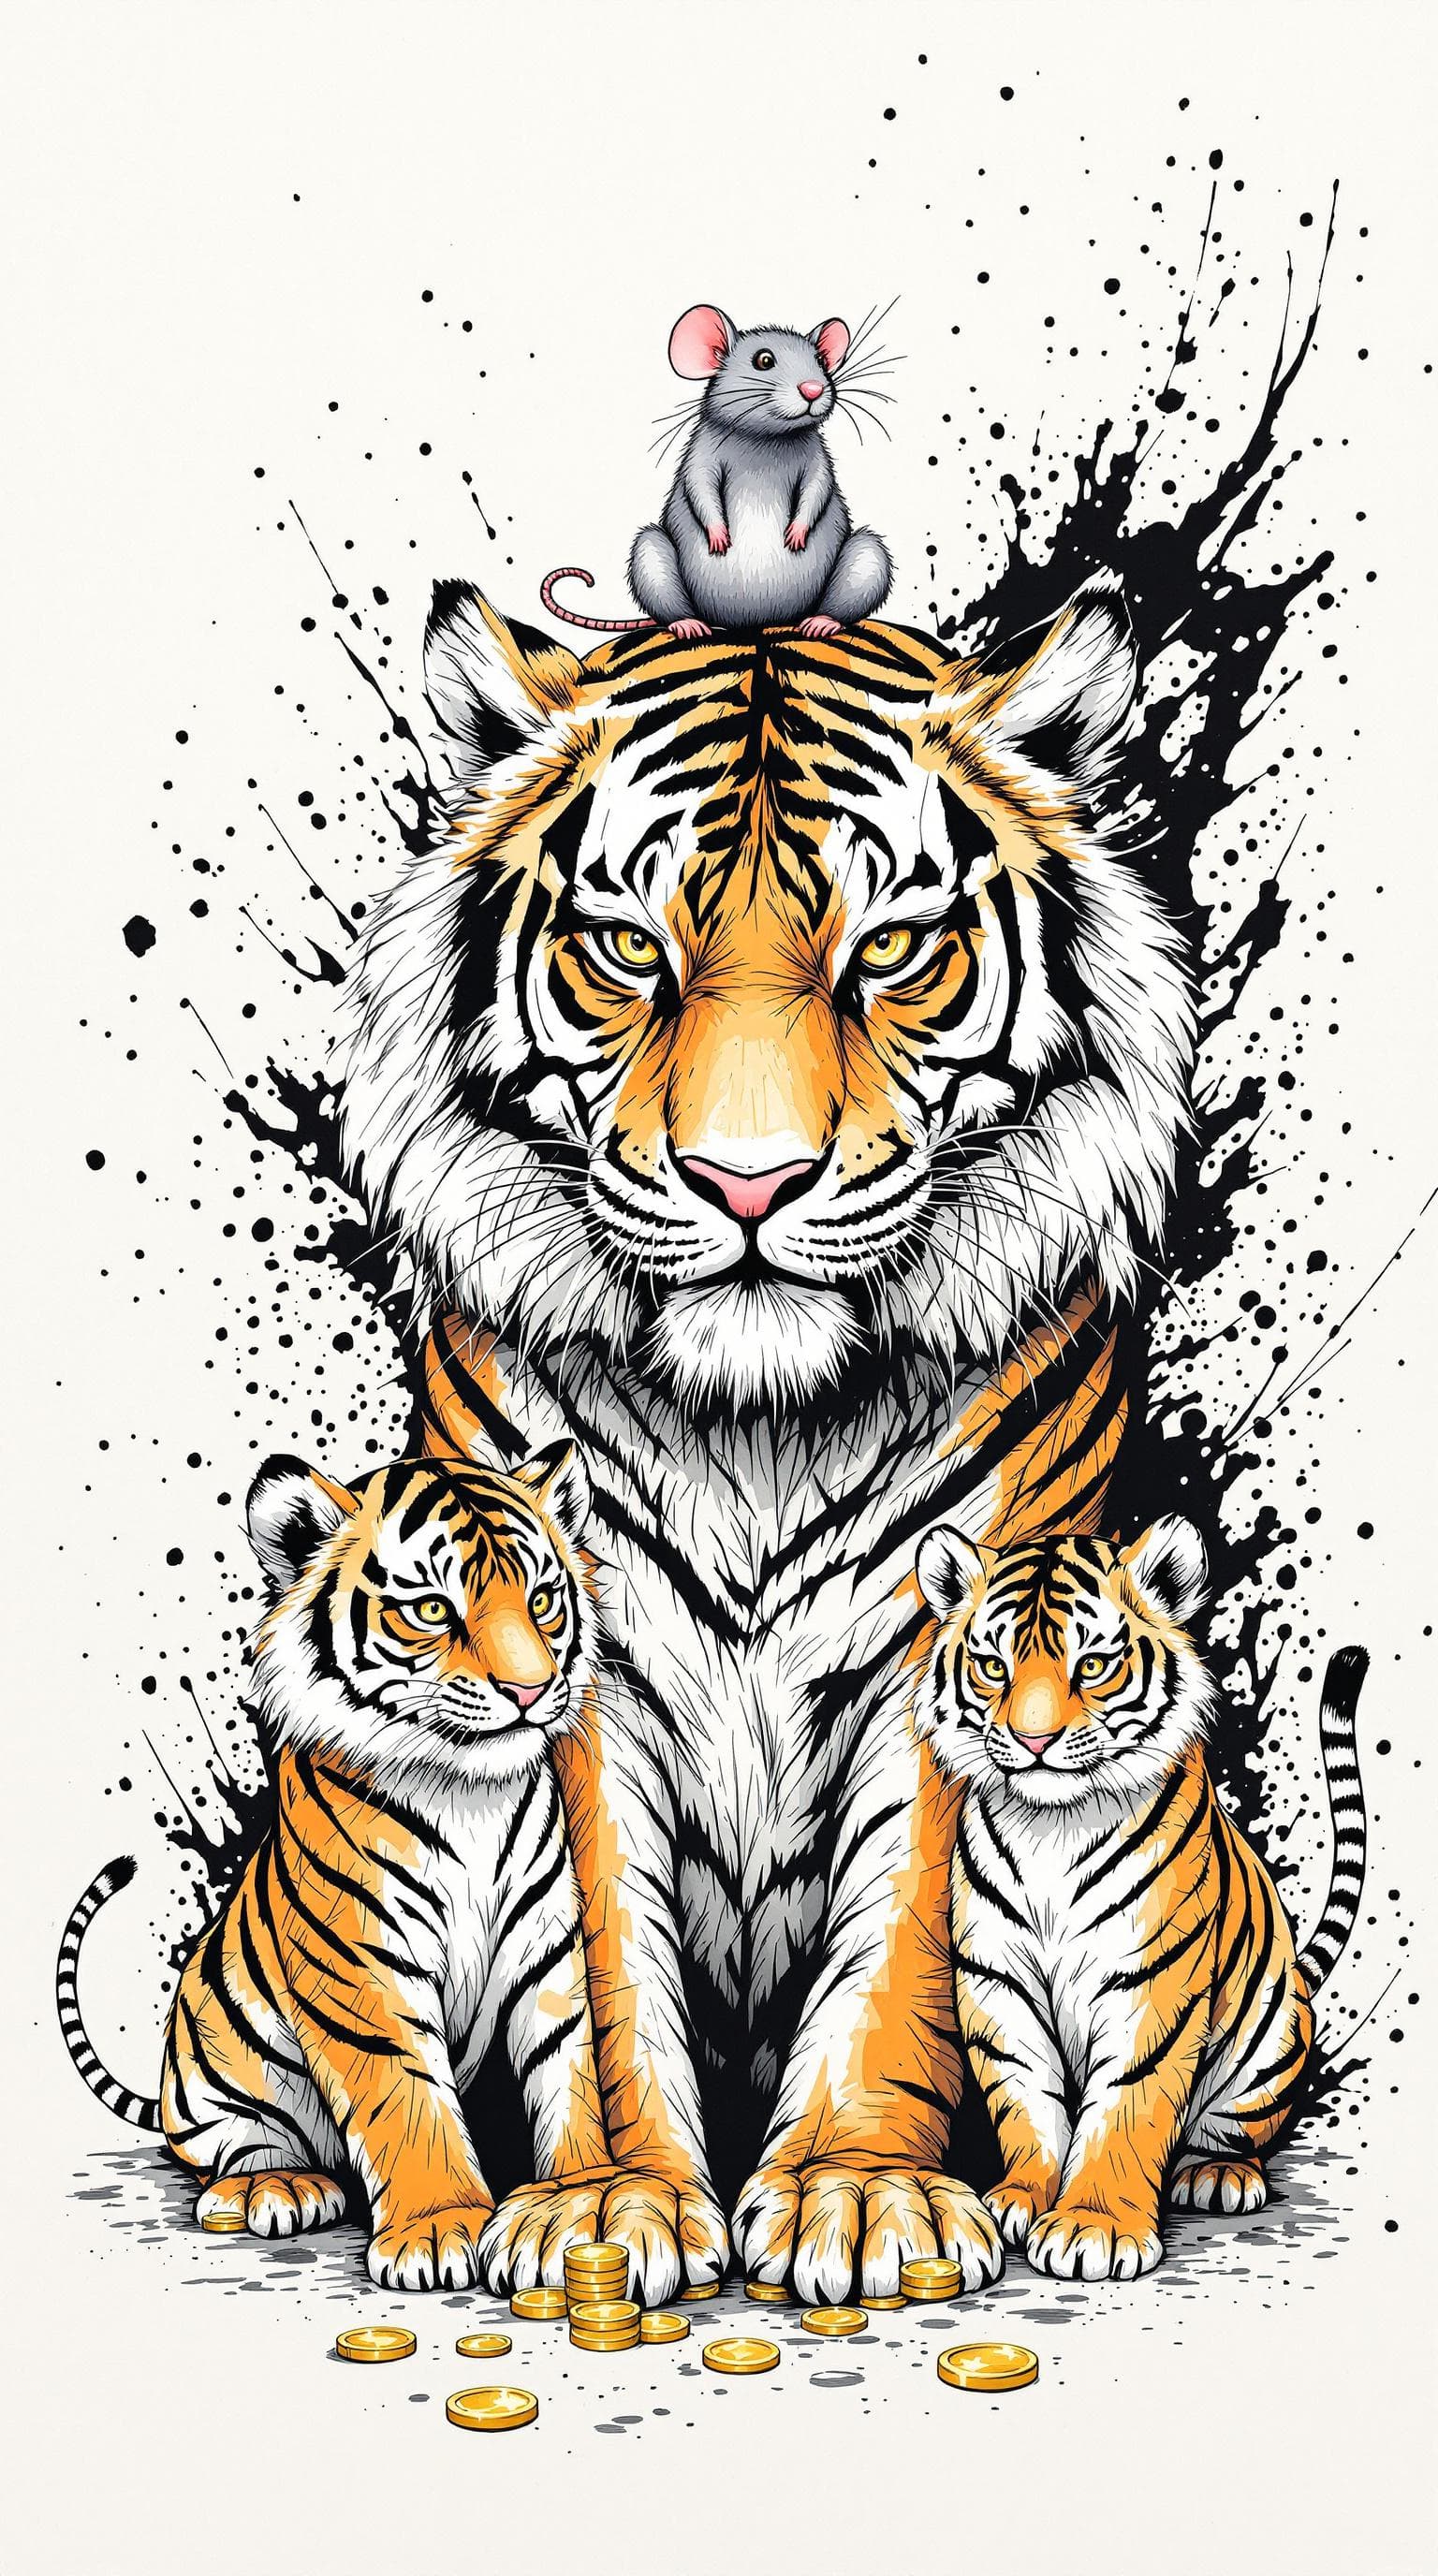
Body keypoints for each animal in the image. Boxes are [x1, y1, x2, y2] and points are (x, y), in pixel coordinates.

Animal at [55, 1444, 647, 2294]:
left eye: (542, 1600)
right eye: (431, 1610)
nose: (532, 1690)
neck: (471, 1792)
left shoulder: (545, 1950)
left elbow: (568, 2078)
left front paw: (579, 2198)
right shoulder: (361, 1959)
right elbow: (406, 2095)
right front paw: (438, 2229)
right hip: (217, 2065)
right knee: (230, 2147)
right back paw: (274, 2186)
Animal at [335, 576, 1196, 2300]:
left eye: (893, 950)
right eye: (625, 949)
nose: (749, 1182)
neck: (756, 1418)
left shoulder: (957, 1636)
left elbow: (907, 1940)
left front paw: (860, 2194)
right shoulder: (569, 1653)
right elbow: (600, 1952)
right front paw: (610, 2204)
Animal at [913, 1516, 1368, 2279]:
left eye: (1094, 1666)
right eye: (993, 1667)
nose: (1033, 1740)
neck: (1052, 1827)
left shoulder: (1149, 1985)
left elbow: (1127, 2107)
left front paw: (1092, 2227)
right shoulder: (998, 1983)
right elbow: (1025, 2100)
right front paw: (1020, 2199)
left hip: (1270, 2039)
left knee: (1236, 2129)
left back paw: (1217, 2174)